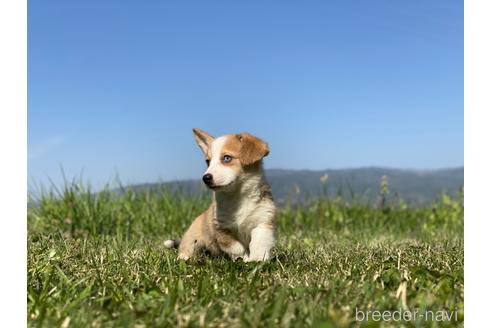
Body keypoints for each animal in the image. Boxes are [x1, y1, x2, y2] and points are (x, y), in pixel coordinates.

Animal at [163, 128, 274, 262]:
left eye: (227, 158)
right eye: (208, 162)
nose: (205, 178)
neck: (237, 196)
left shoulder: (263, 222)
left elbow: (259, 243)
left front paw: (256, 259)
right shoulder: (221, 229)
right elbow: (236, 247)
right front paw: (244, 258)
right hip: (193, 239)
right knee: (187, 247)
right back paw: (184, 257)